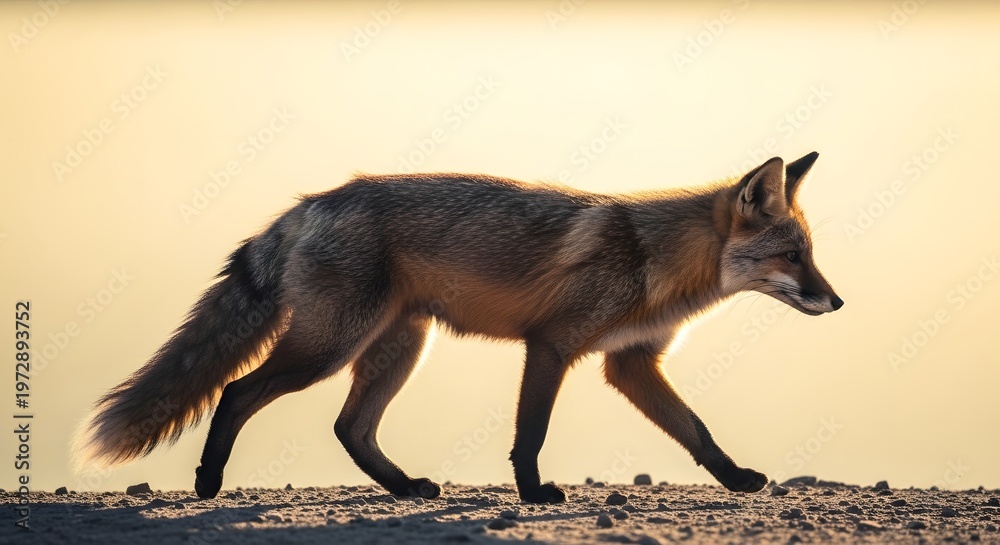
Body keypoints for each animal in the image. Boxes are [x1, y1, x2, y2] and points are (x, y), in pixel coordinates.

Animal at [76, 152, 842, 504]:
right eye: (793, 257)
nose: (837, 302)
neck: (654, 263)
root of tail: (316, 199)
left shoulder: (629, 364)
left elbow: (698, 432)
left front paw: (737, 478)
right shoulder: (553, 345)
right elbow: (530, 433)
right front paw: (533, 494)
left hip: (400, 346)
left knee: (350, 428)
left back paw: (404, 488)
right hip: (328, 347)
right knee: (236, 391)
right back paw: (207, 482)